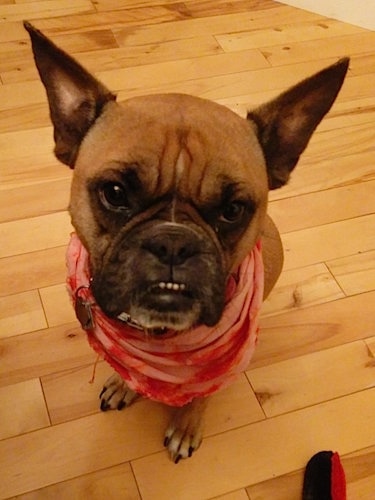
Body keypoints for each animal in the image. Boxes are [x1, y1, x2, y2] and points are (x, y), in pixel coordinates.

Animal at [25, 21, 352, 462]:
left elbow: (202, 395)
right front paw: (124, 384)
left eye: (233, 209)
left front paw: (186, 426)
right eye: (115, 192)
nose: (173, 243)